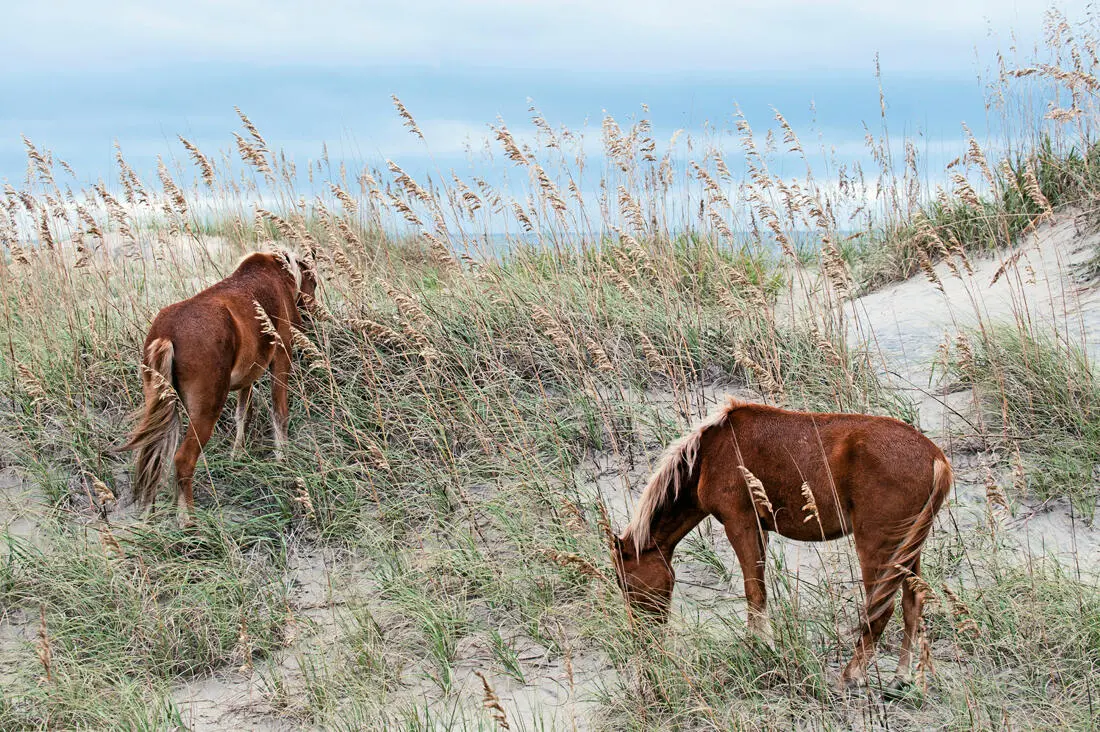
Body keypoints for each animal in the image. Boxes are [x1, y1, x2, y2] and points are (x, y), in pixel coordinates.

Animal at [121, 248, 319, 521]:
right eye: (315, 283)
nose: (310, 316)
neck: (278, 273)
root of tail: (167, 335)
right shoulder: (281, 358)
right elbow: (280, 412)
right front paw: (282, 459)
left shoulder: (249, 374)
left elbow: (242, 414)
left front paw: (238, 454)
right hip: (206, 411)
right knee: (183, 460)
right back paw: (189, 522)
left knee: (153, 457)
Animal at [616, 396, 950, 695]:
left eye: (626, 583)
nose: (642, 637)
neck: (709, 453)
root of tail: (935, 457)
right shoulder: (759, 531)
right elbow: (759, 589)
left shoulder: (740, 525)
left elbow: (754, 593)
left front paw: (760, 648)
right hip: (906, 550)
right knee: (912, 604)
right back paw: (900, 678)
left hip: (877, 545)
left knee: (881, 611)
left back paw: (850, 676)